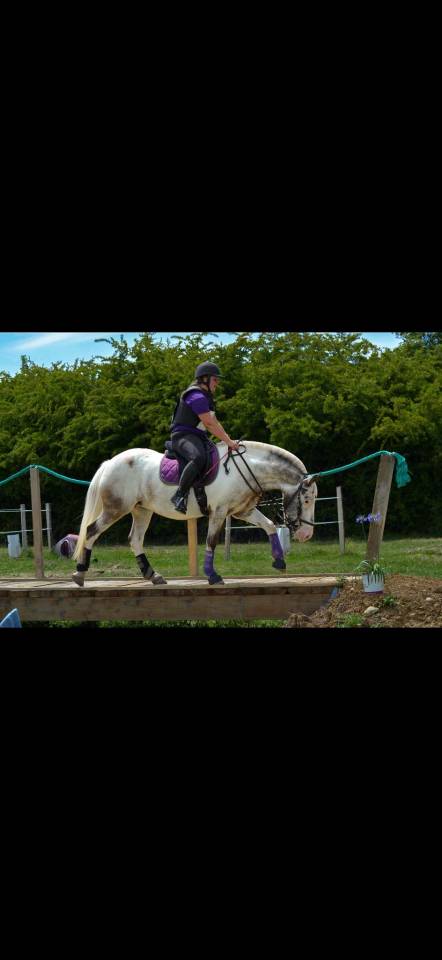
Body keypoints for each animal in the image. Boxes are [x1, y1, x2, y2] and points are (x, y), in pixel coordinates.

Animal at [72, 440, 318, 586]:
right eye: (306, 500)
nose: (306, 535)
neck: (249, 468)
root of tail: (111, 462)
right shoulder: (219, 512)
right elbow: (211, 541)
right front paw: (212, 575)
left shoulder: (243, 511)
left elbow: (268, 525)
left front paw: (279, 561)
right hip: (116, 508)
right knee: (92, 531)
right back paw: (79, 574)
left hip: (142, 510)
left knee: (135, 539)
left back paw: (153, 575)